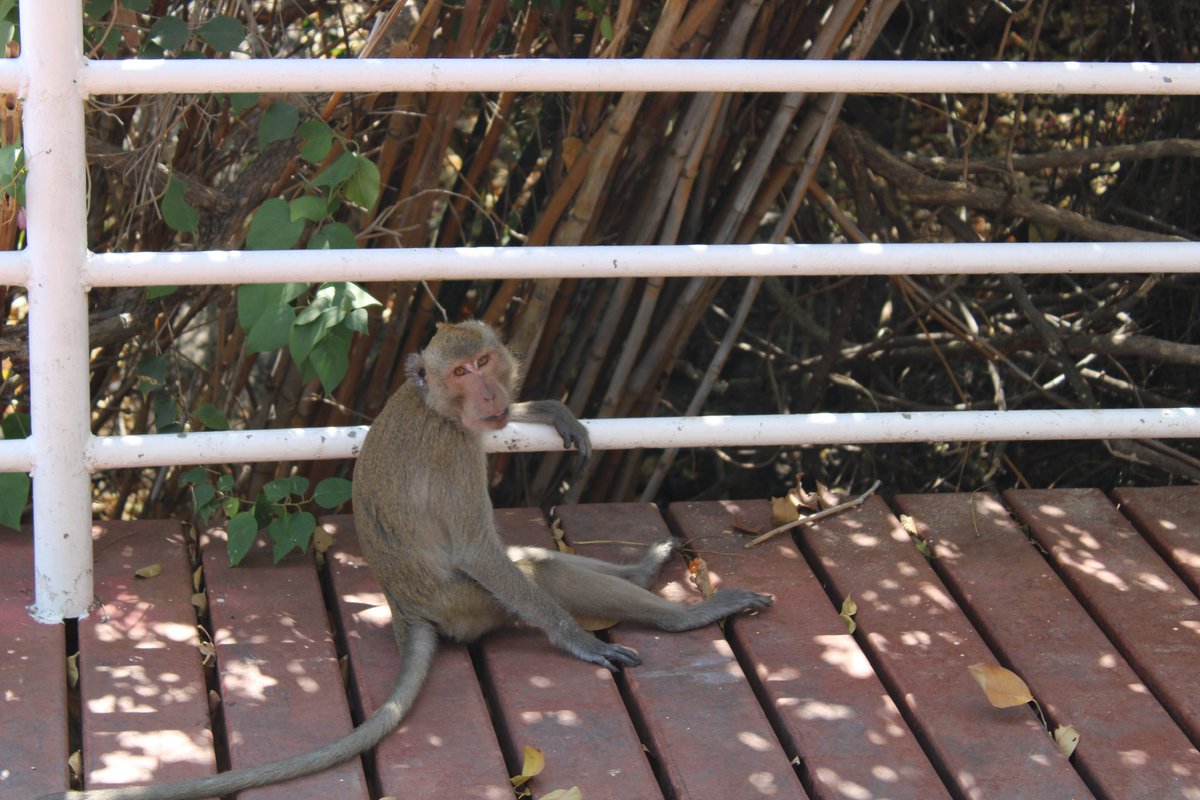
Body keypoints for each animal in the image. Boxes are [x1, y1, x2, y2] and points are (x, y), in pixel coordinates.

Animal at [44, 320, 771, 800]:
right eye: (459, 373)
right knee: (533, 573)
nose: (488, 396)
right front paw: (577, 641)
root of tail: (405, 608)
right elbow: (478, 547)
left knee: (531, 560)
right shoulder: (453, 454)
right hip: (468, 605)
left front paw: (549, 409)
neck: (437, 409)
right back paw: (682, 618)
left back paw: (644, 573)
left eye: (484, 361)